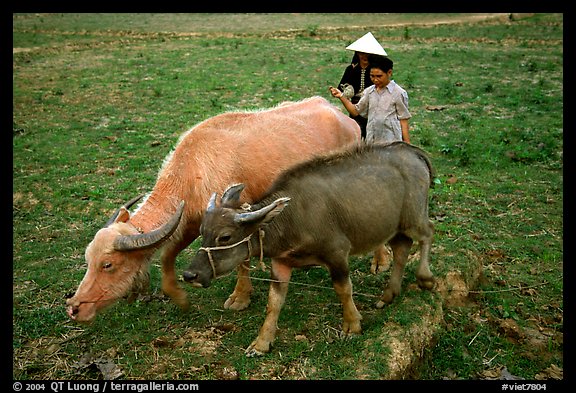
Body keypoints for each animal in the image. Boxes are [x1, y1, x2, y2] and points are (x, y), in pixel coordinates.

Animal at [184, 141, 436, 356]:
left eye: (225, 237)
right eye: (202, 231)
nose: (189, 274)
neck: (292, 218)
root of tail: (412, 151)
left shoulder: (337, 253)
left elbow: (344, 289)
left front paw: (352, 324)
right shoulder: (281, 263)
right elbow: (274, 303)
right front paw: (262, 343)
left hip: (414, 218)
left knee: (427, 233)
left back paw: (425, 278)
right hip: (396, 227)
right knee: (402, 249)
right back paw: (388, 294)